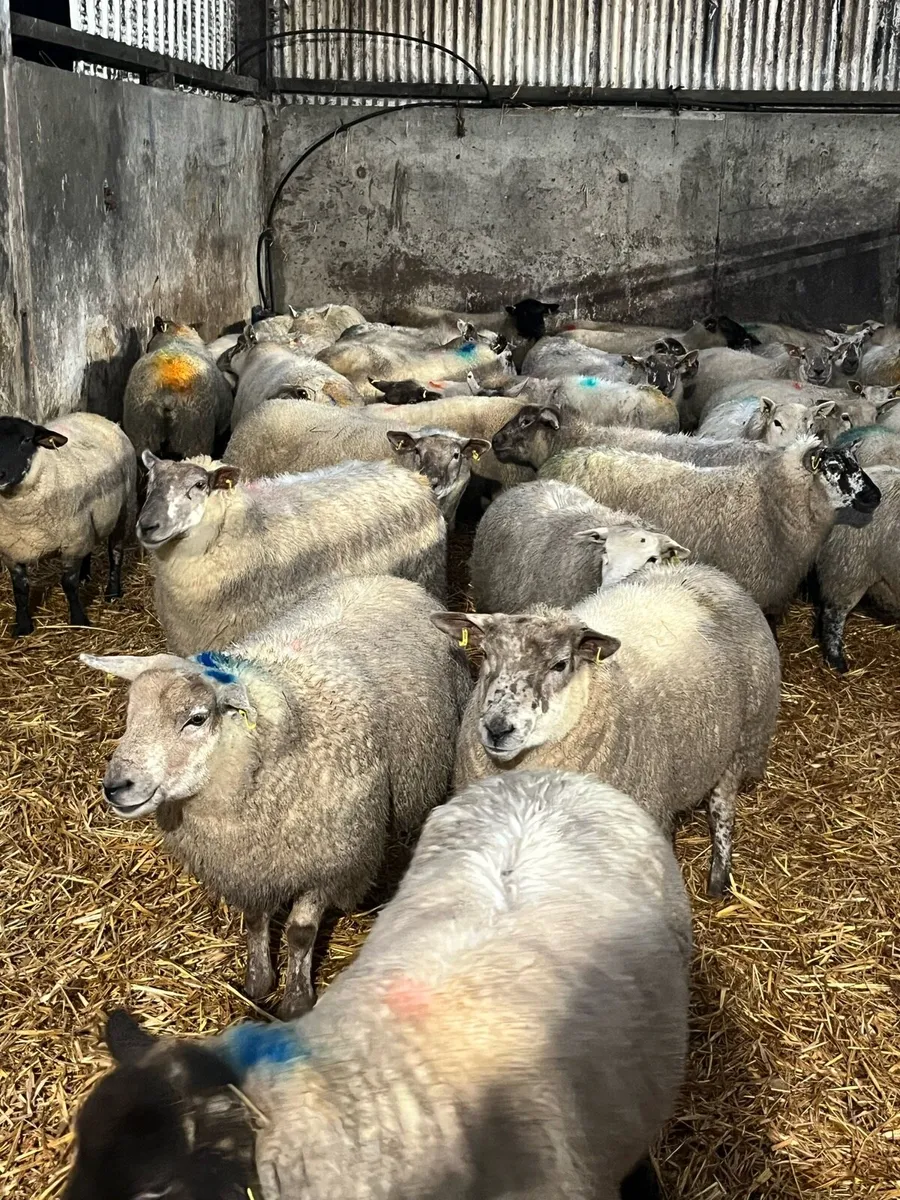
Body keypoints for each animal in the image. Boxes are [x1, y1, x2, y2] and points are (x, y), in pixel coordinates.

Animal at [0, 413, 136, 637]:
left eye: (26, 440)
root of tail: (95, 416)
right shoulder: (11, 552)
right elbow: (20, 589)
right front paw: (23, 626)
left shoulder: (72, 544)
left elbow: (69, 585)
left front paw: (79, 620)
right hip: (87, 522)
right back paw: (85, 576)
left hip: (124, 510)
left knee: (116, 552)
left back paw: (113, 592)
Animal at [81, 574, 469, 1015]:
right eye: (131, 716)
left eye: (196, 718)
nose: (116, 786)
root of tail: (394, 581)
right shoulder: (253, 865)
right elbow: (254, 919)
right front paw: (258, 981)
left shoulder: (330, 861)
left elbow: (300, 933)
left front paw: (297, 999)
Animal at [435, 561, 780, 896]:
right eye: (486, 654)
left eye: (560, 664)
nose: (497, 729)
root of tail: (707, 572)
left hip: (745, 737)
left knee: (722, 805)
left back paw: (719, 877)